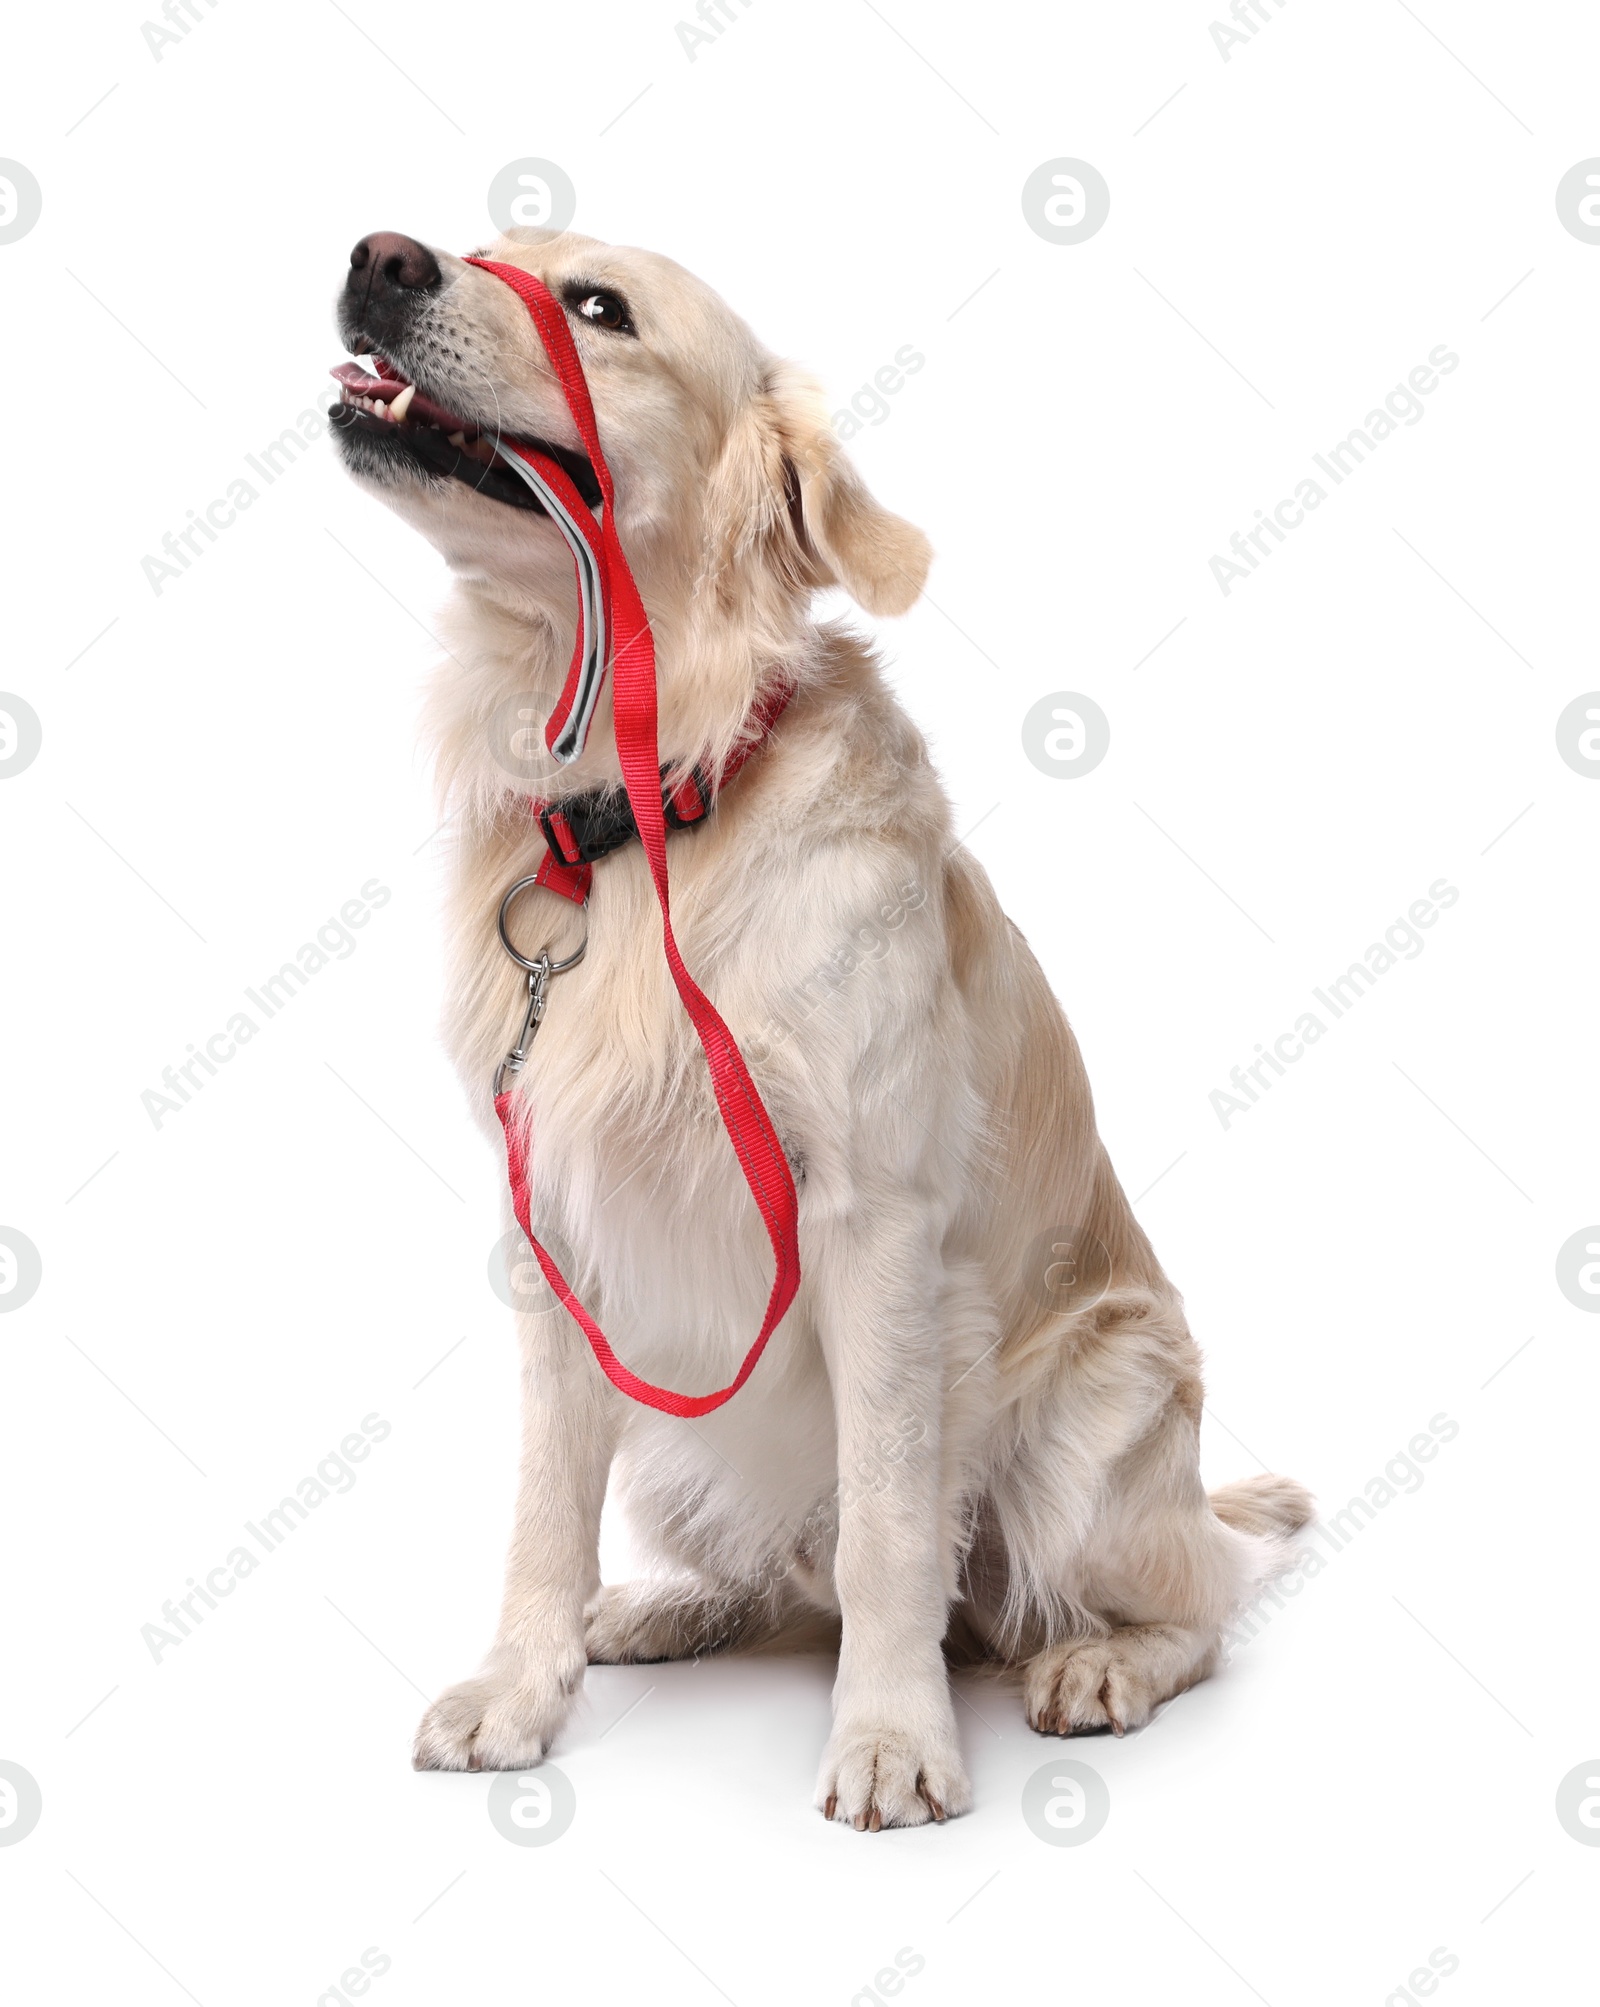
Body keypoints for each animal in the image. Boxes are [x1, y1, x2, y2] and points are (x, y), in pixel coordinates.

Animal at [331, 227, 1300, 1830]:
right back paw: (656, 1609)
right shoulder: (557, 1240)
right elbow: (543, 1510)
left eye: (599, 306)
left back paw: (1098, 1661)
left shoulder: (874, 1221)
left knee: (1196, 1599)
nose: (379, 257)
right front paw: (522, 1685)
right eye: (484, 243)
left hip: (1095, 1425)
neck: (647, 804)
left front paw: (893, 1738)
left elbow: (890, 1527)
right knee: (778, 1580)